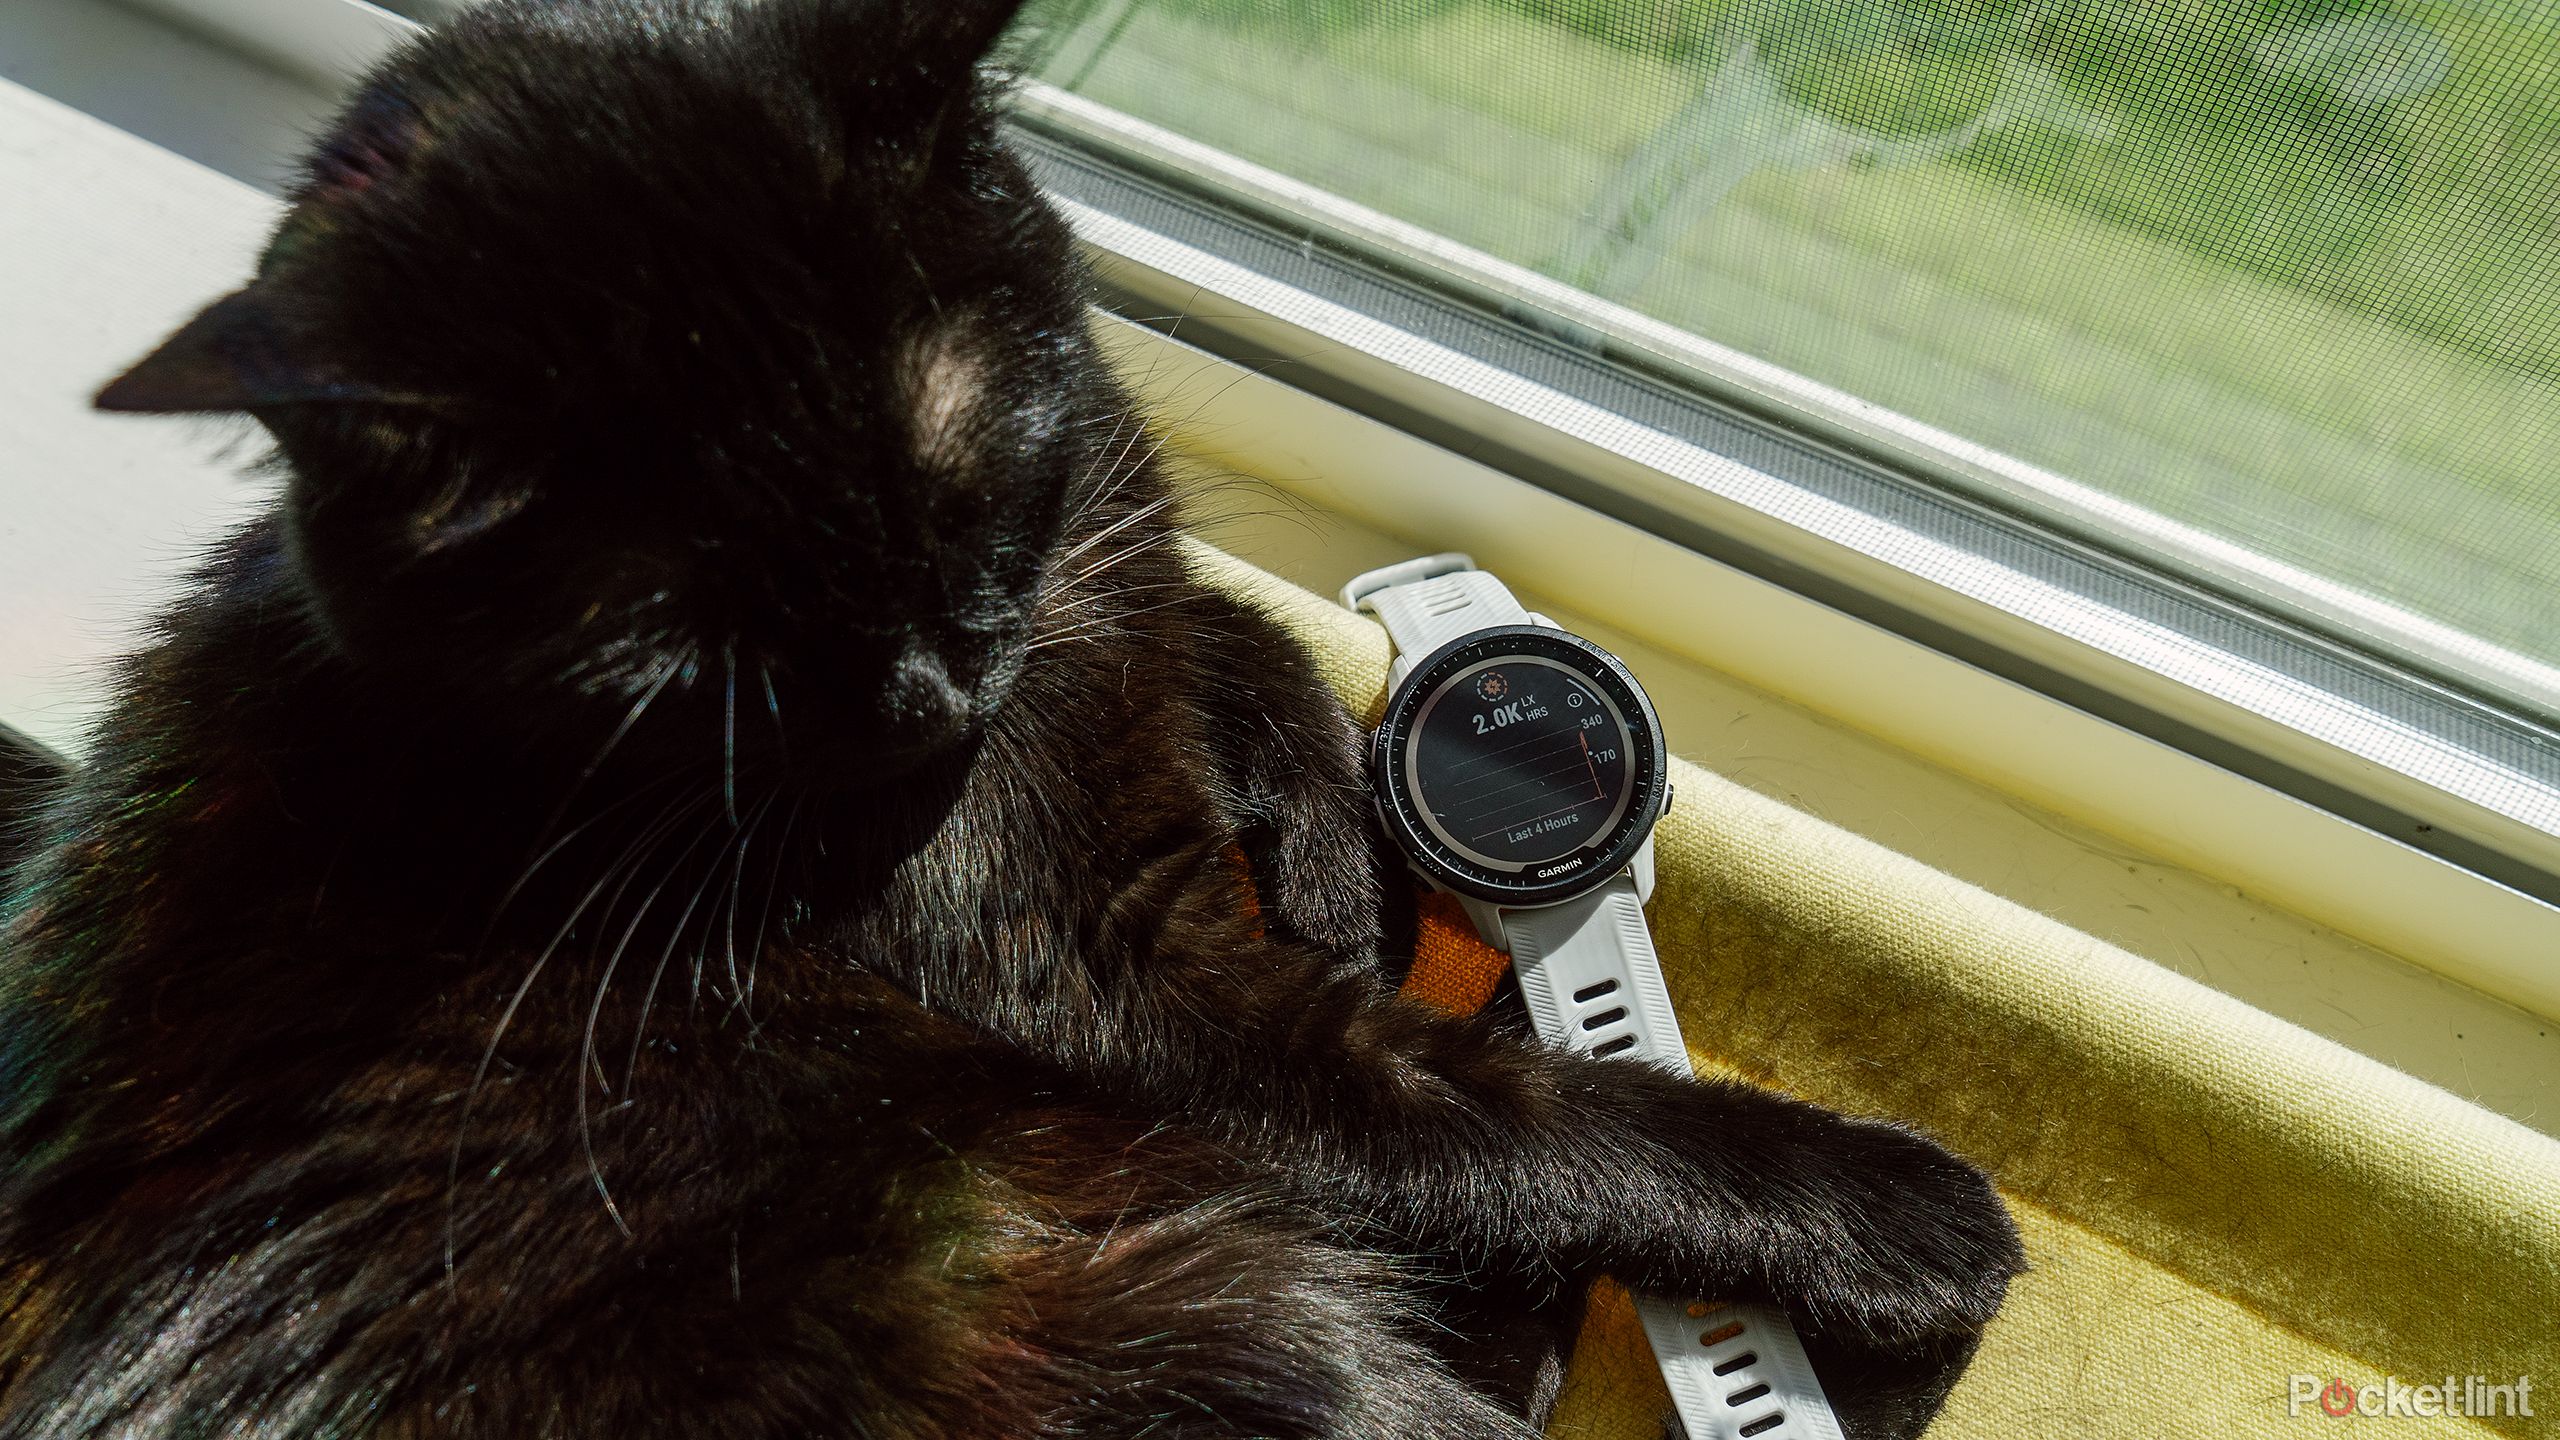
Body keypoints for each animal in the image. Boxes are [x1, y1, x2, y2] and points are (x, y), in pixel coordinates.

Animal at [0, 5, 2017, 1424]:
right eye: (696, 650)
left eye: (963, 484)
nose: (932, 687)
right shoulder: (1129, 990)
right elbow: (1510, 1109)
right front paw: (1896, 1224)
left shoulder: (1102, 548)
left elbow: (1235, 630)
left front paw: (1332, 854)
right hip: (1201, 1298)